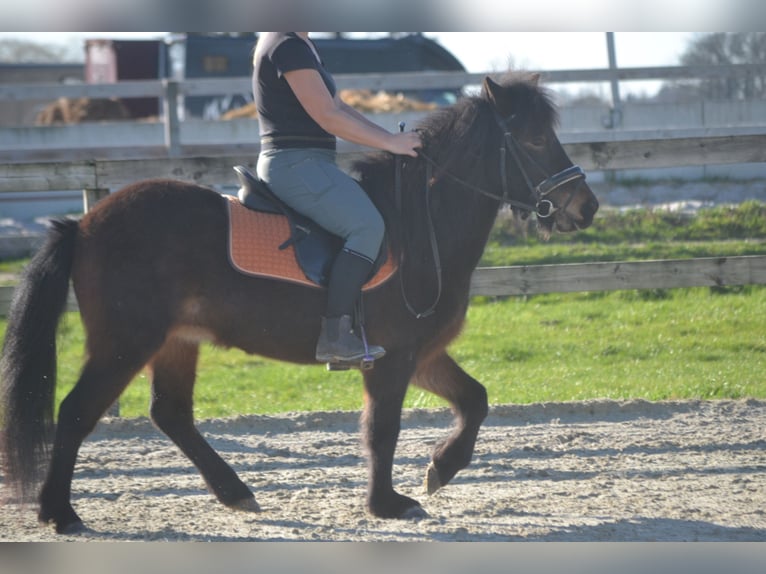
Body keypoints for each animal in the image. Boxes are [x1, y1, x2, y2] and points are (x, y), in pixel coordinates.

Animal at [0, 72, 598, 534]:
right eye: (535, 139)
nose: (586, 206)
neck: (419, 227)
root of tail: (84, 224)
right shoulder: (392, 359)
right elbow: (382, 430)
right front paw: (387, 504)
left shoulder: (422, 354)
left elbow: (476, 399)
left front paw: (441, 468)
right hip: (125, 342)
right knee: (76, 411)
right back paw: (59, 513)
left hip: (176, 340)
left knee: (170, 413)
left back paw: (235, 492)